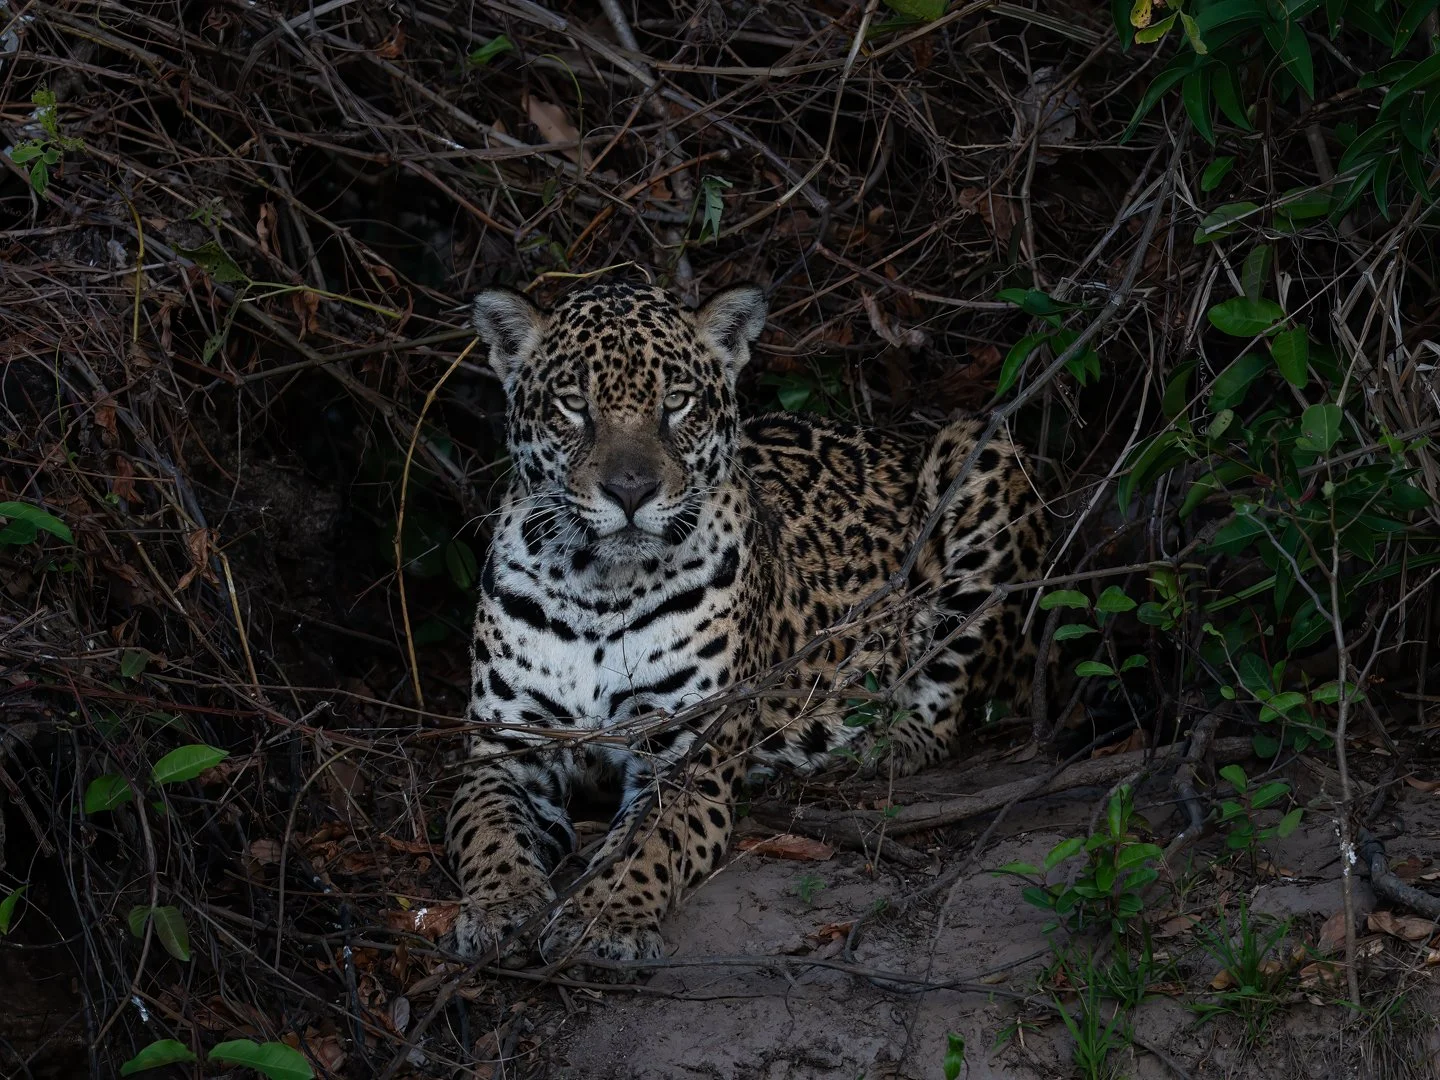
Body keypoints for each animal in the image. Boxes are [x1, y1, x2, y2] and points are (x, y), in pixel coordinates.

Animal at [445, 280, 1050, 972]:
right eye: (574, 405)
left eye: (676, 402)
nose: (631, 491)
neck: (599, 587)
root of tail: (894, 435)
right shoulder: (504, 751)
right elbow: (488, 829)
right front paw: (501, 909)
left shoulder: (689, 761)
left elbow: (641, 850)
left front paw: (602, 920)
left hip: (983, 450)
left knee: (945, 703)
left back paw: (872, 745)